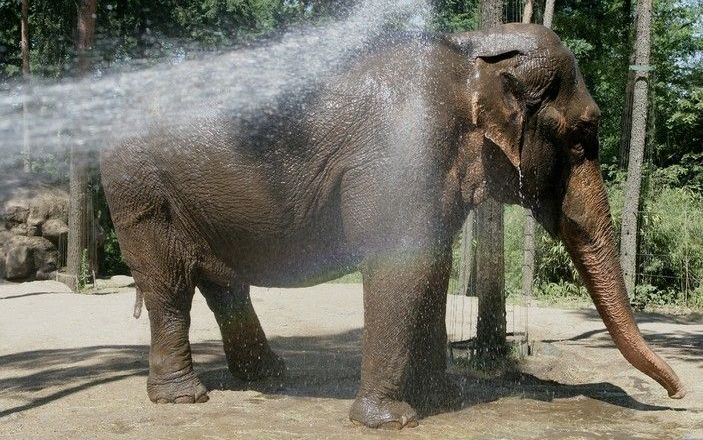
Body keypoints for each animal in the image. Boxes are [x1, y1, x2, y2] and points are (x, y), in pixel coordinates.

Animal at [102, 24, 684, 430]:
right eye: (582, 137)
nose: (679, 395)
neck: (467, 53)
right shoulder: (402, 152)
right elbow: (400, 268)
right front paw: (391, 421)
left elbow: (431, 266)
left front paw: (441, 401)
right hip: (140, 192)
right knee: (169, 285)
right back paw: (185, 397)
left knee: (223, 283)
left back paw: (269, 377)